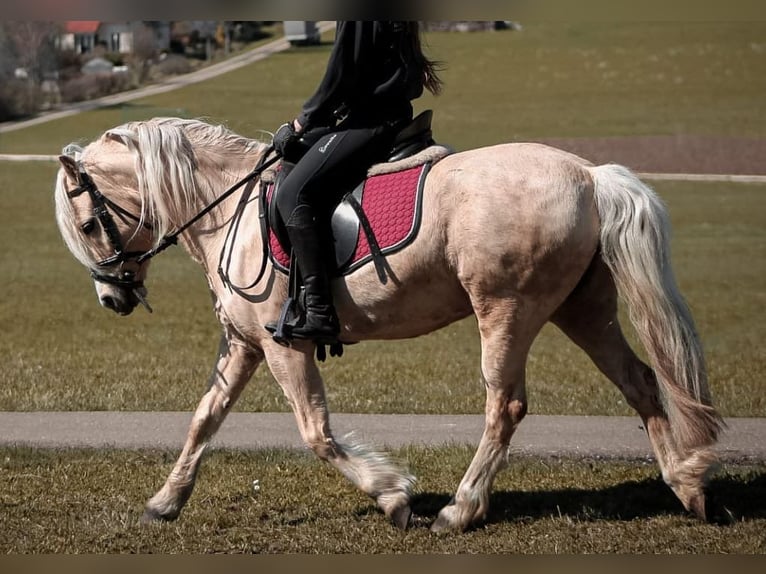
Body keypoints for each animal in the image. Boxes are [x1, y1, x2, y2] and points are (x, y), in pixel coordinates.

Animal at [54, 117, 728, 536]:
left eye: (87, 225)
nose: (112, 297)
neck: (229, 210)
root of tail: (589, 176)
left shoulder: (282, 345)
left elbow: (315, 431)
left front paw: (392, 494)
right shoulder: (243, 344)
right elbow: (204, 419)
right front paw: (165, 502)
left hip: (506, 310)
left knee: (505, 404)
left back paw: (460, 510)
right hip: (582, 310)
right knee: (640, 382)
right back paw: (688, 486)